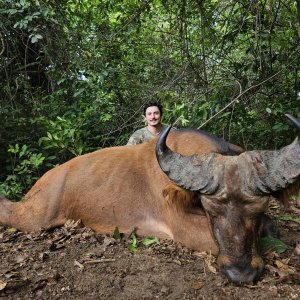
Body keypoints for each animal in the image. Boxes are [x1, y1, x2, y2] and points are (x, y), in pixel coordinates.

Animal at [0, 114, 300, 284]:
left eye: (260, 208)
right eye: (210, 208)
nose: (241, 273)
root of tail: (45, 181)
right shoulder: (185, 228)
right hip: (34, 217)